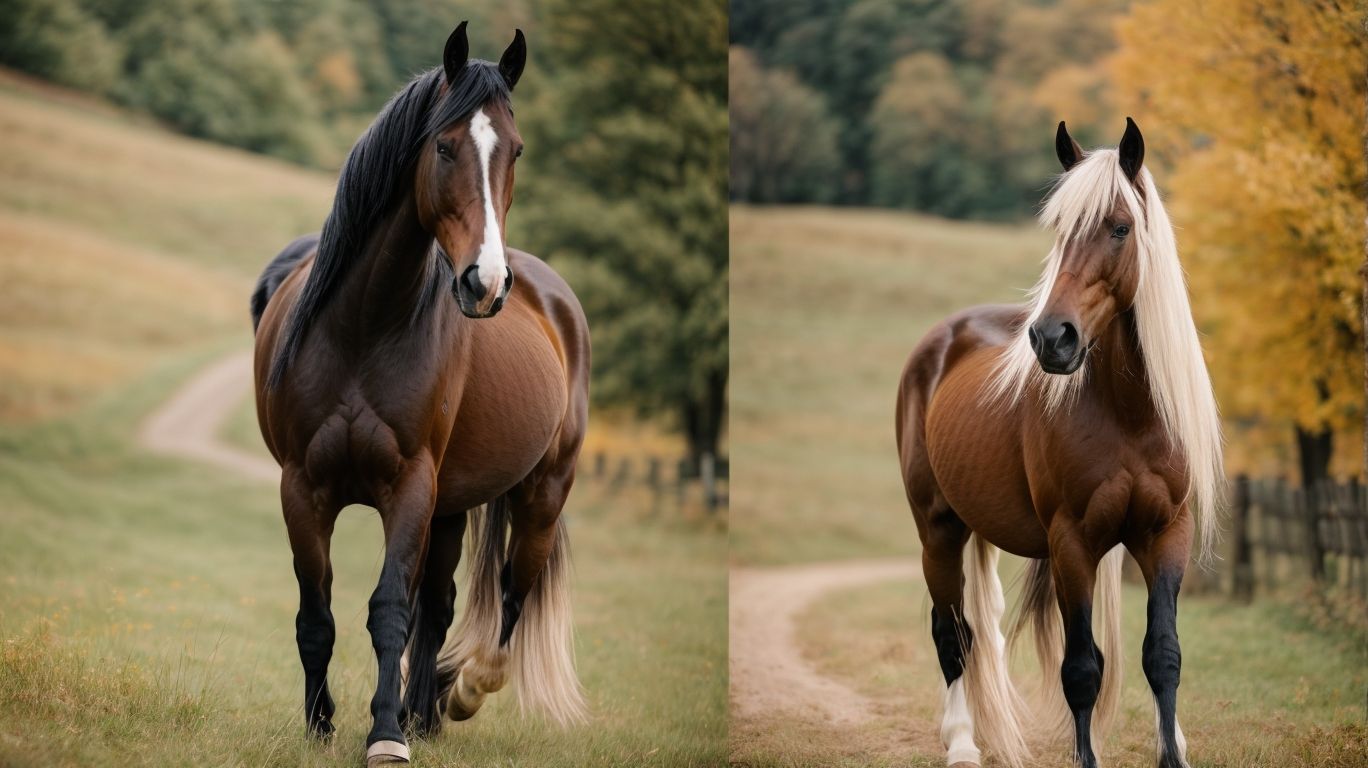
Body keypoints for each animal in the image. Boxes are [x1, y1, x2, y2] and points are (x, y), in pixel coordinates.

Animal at [251, 22, 589, 766]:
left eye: (516, 150)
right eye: (444, 145)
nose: (485, 283)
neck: (362, 327)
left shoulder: (408, 487)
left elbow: (389, 611)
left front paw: (385, 733)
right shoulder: (302, 487)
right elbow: (317, 612)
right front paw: (321, 724)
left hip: (540, 493)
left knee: (508, 602)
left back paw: (455, 693)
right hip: (452, 508)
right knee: (441, 603)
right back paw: (426, 708)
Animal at [895, 119, 1222, 768]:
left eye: (1120, 227)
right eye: (1060, 229)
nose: (1052, 339)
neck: (1131, 415)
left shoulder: (1165, 534)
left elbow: (1161, 655)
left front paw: (1171, 751)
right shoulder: (1073, 543)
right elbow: (1081, 670)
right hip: (937, 530)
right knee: (952, 635)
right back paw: (962, 743)